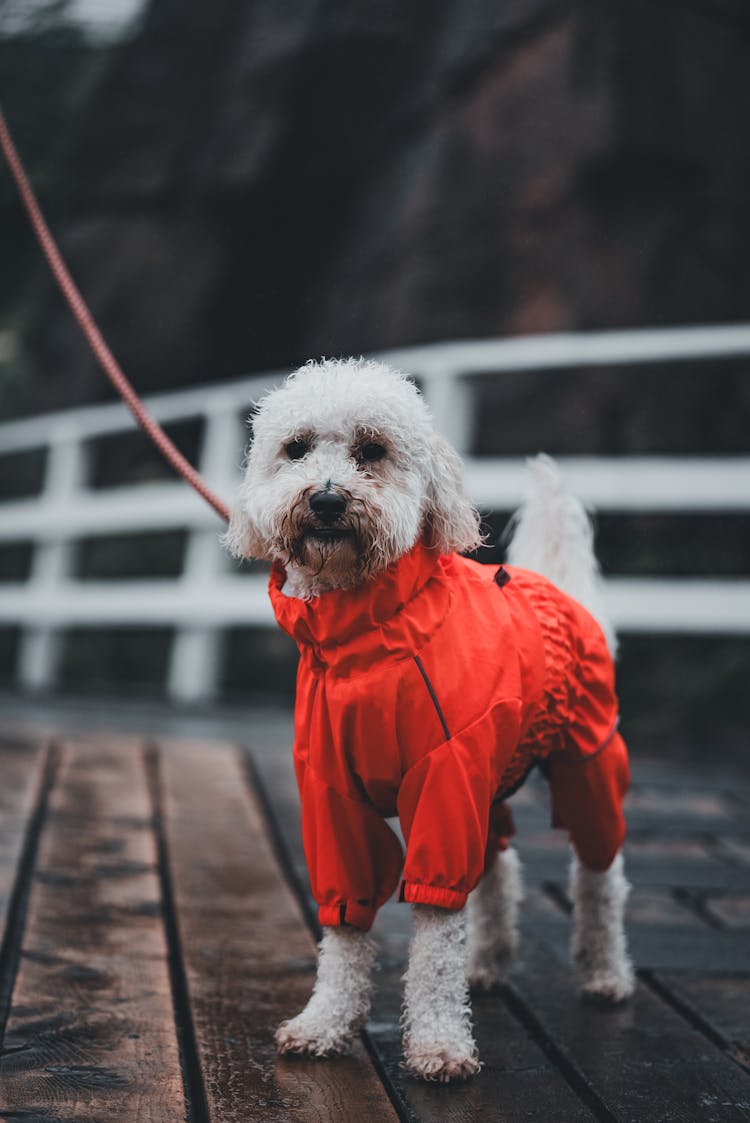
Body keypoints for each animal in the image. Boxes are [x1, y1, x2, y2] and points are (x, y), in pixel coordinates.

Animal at [224, 357, 633, 1078]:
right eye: (295, 448)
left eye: (372, 451)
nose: (326, 499)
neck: (364, 641)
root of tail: (561, 589)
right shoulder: (333, 797)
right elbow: (346, 921)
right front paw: (325, 1022)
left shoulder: (445, 776)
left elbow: (436, 932)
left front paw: (440, 1043)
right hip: (493, 776)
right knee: (499, 867)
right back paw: (489, 963)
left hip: (587, 759)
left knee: (600, 875)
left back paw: (607, 974)